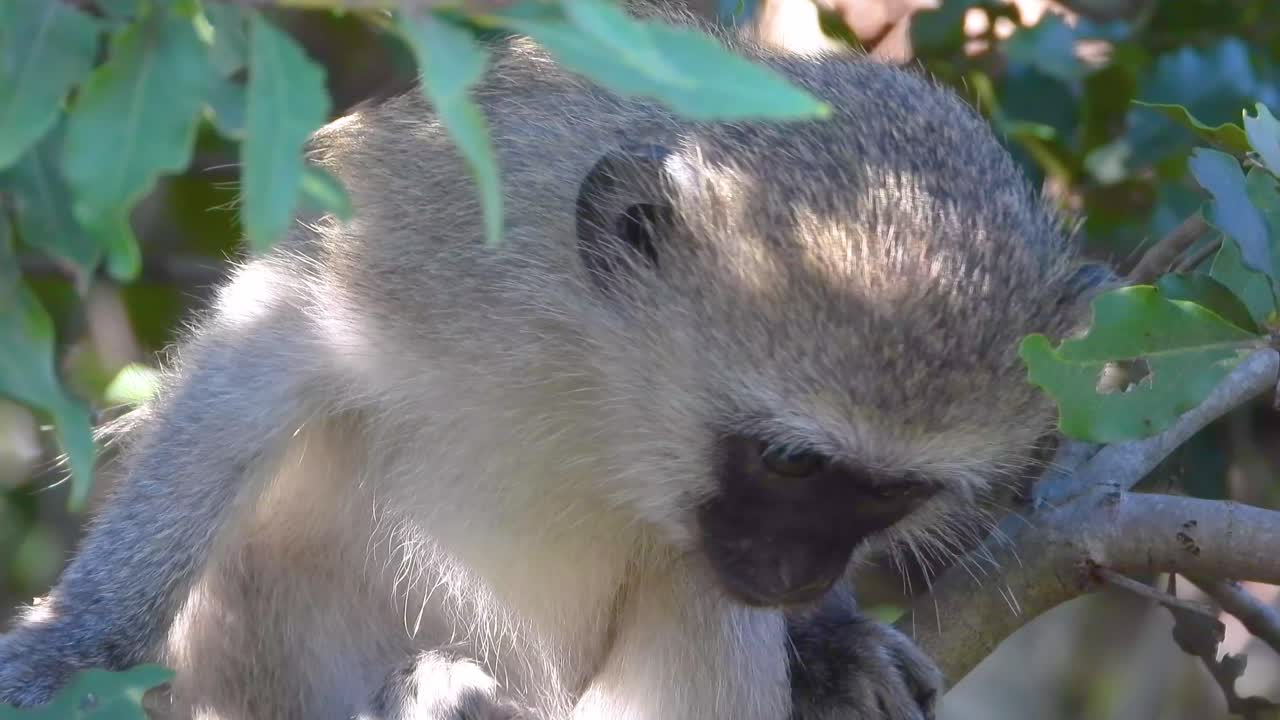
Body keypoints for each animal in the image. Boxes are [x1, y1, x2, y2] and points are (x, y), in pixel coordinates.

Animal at [0, 7, 1100, 720]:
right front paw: (73, 644)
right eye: (790, 462)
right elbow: (263, 352)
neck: (602, 396)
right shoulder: (432, 242)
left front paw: (830, 642)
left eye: (889, 492)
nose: (795, 575)